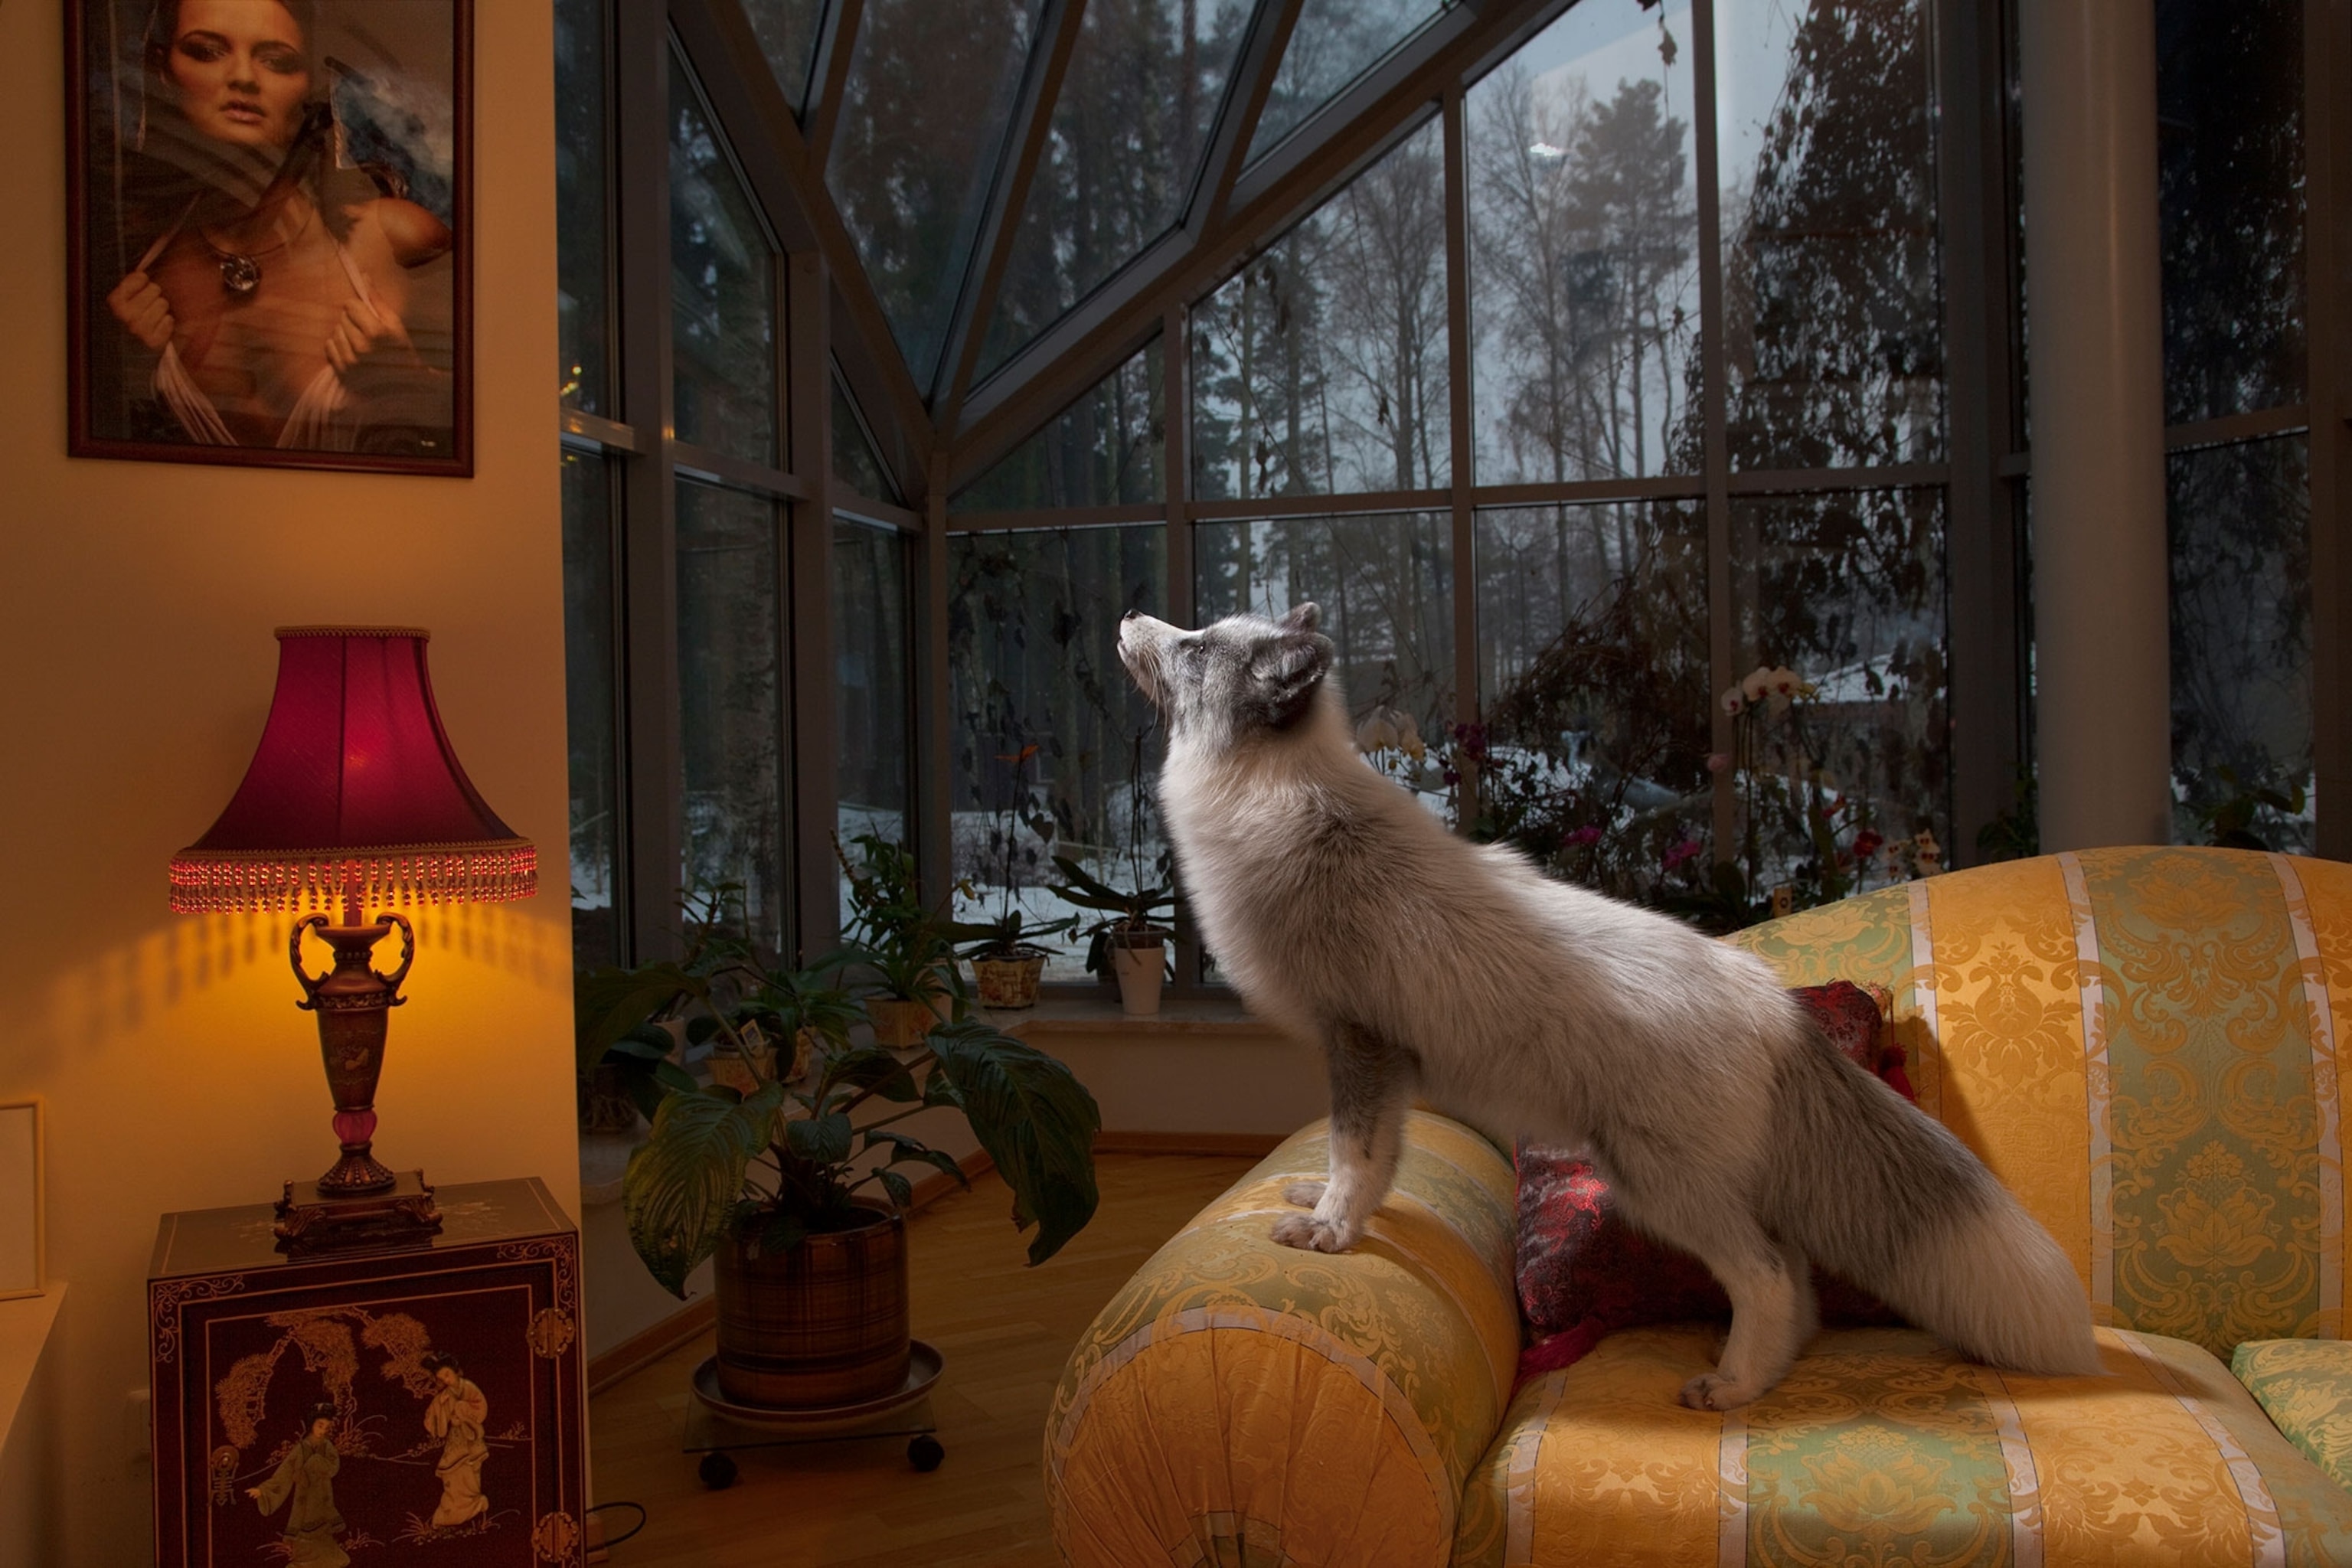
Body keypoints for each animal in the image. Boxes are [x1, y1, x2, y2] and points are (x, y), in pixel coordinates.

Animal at [1115, 603, 2100, 1409]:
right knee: (1798, 1285)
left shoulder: (1359, 1042)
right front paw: (1329, 1205)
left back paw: (1734, 1385)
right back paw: (1762, 1372)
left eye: (1195, 647)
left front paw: (1328, 1231)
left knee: (1772, 1275)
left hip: (1656, 1182)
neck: (1289, 801)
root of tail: (1775, 1004)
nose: (1128, 616)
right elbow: (1374, 1158)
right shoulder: (1384, 1062)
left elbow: (1355, 1155)